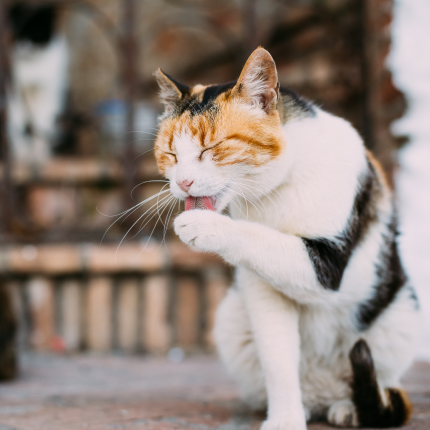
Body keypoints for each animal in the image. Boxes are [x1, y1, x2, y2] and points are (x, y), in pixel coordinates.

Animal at [154, 48, 420, 428]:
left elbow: (260, 238)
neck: (276, 188)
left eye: (212, 148)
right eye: (171, 154)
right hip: (232, 319)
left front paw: (203, 225)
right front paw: (285, 417)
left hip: (401, 316)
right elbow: (278, 357)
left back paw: (348, 407)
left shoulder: (326, 267)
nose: (183, 182)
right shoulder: (261, 290)